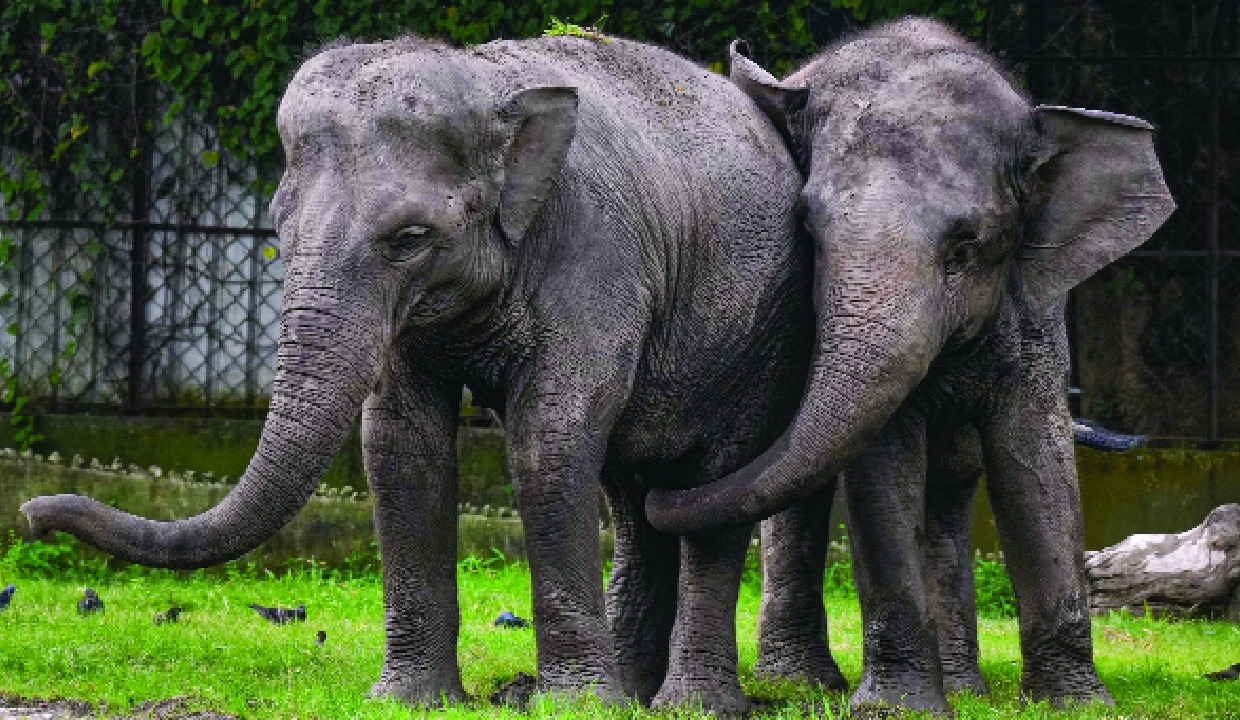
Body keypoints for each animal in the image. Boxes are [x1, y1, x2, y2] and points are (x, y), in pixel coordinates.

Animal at [20, 33, 825, 714]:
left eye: (410, 237)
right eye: (277, 226)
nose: (30, 515)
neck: (487, 77)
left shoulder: (598, 256)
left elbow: (551, 438)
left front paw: (573, 707)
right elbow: (401, 445)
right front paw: (412, 702)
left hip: (764, 339)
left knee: (711, 485)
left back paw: (688, 705)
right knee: (636, 500)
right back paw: (634, 691)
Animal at [647, 18, 1175, 713]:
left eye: (966, 246)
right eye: (807, 231)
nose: (658, 491)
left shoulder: (1034, 308)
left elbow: (1036, 461)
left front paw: (1077, 707)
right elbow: (885, 462)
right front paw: (893, 709)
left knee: (947, 494)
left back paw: (962, 686)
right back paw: (802, 684)